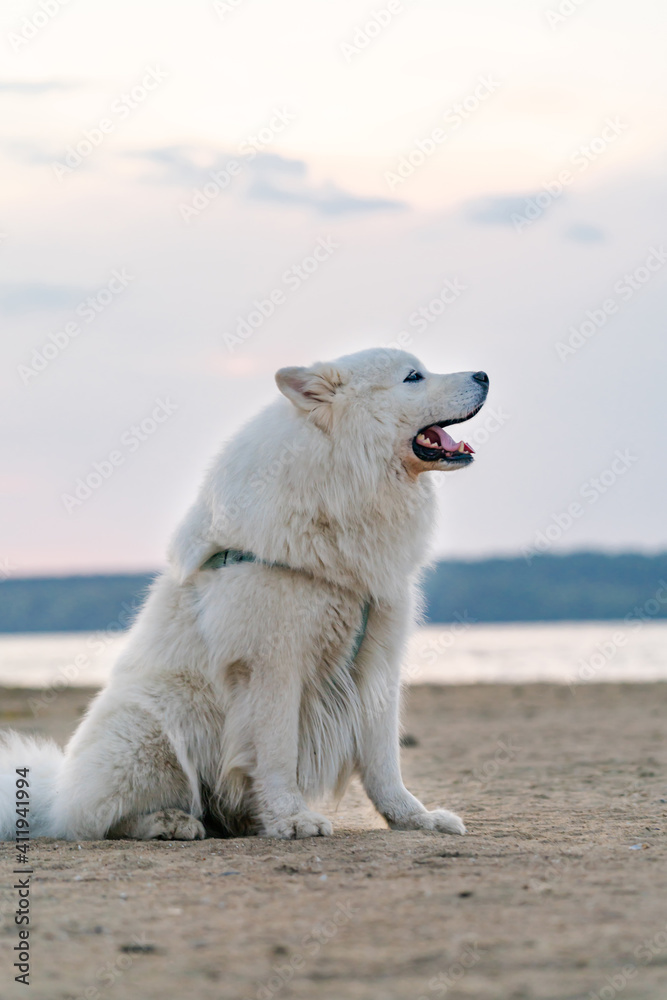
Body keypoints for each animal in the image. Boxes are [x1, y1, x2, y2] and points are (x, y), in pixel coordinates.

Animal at [0, 348, 490, 840]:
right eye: (413, 377)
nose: (484, 374)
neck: (342, 478)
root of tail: (54, 796)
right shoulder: (271, 663)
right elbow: (277, 752)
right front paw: (293, 819)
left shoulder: (377, 661)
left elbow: (384, 762)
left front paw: (414, 818)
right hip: (155, 728)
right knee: (97, 820)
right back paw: (170, 822)